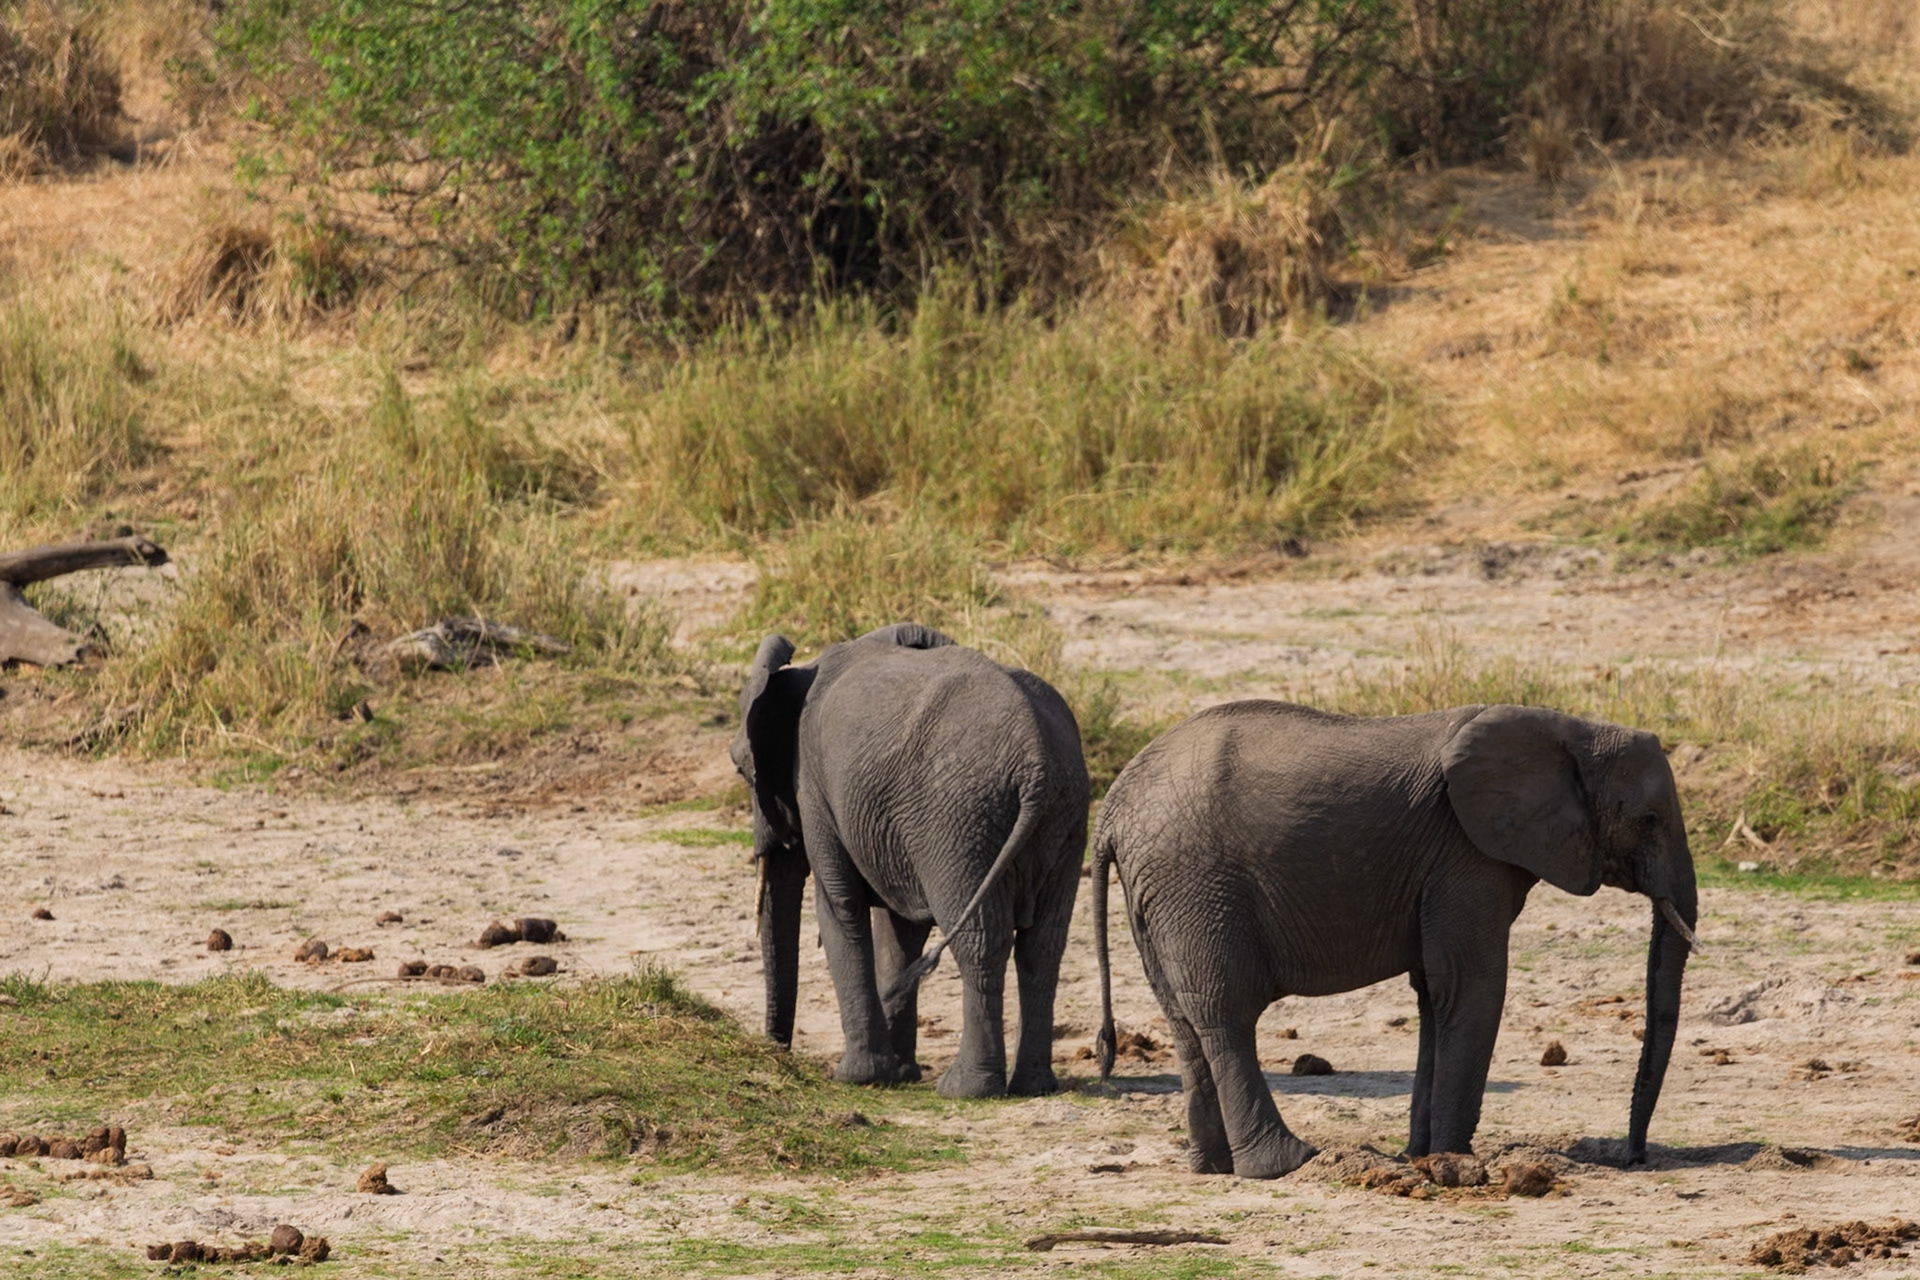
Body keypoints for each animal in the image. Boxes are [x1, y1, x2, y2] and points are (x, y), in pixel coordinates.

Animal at [732, 621, 1090, 1097]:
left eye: (741, 770)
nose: (777, 1050)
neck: (801, 670)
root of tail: (1037, 763)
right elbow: (901, 932)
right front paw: (900, 1075)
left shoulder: (815, 786)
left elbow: (840, 906)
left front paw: (860, 1078)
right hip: (1064, 819)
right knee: (1043, 946)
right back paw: (1033, 1086)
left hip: (960, 823)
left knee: (980, 941)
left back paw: (966, 1089)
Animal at [1090, 700, 1700, 1178]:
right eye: (1648, 819)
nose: (1634, 1156)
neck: (1574, 729)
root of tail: (1113, 806)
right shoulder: (1465, 853)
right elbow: (1472, 985)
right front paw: (1457, 1162)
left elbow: (1434, 993)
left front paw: (1422, 1157)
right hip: (1195, 883)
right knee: (1225, 1014)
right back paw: (1285, 1163)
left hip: (1159, 895)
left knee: (1184, 1019)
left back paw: (1211, 1167)